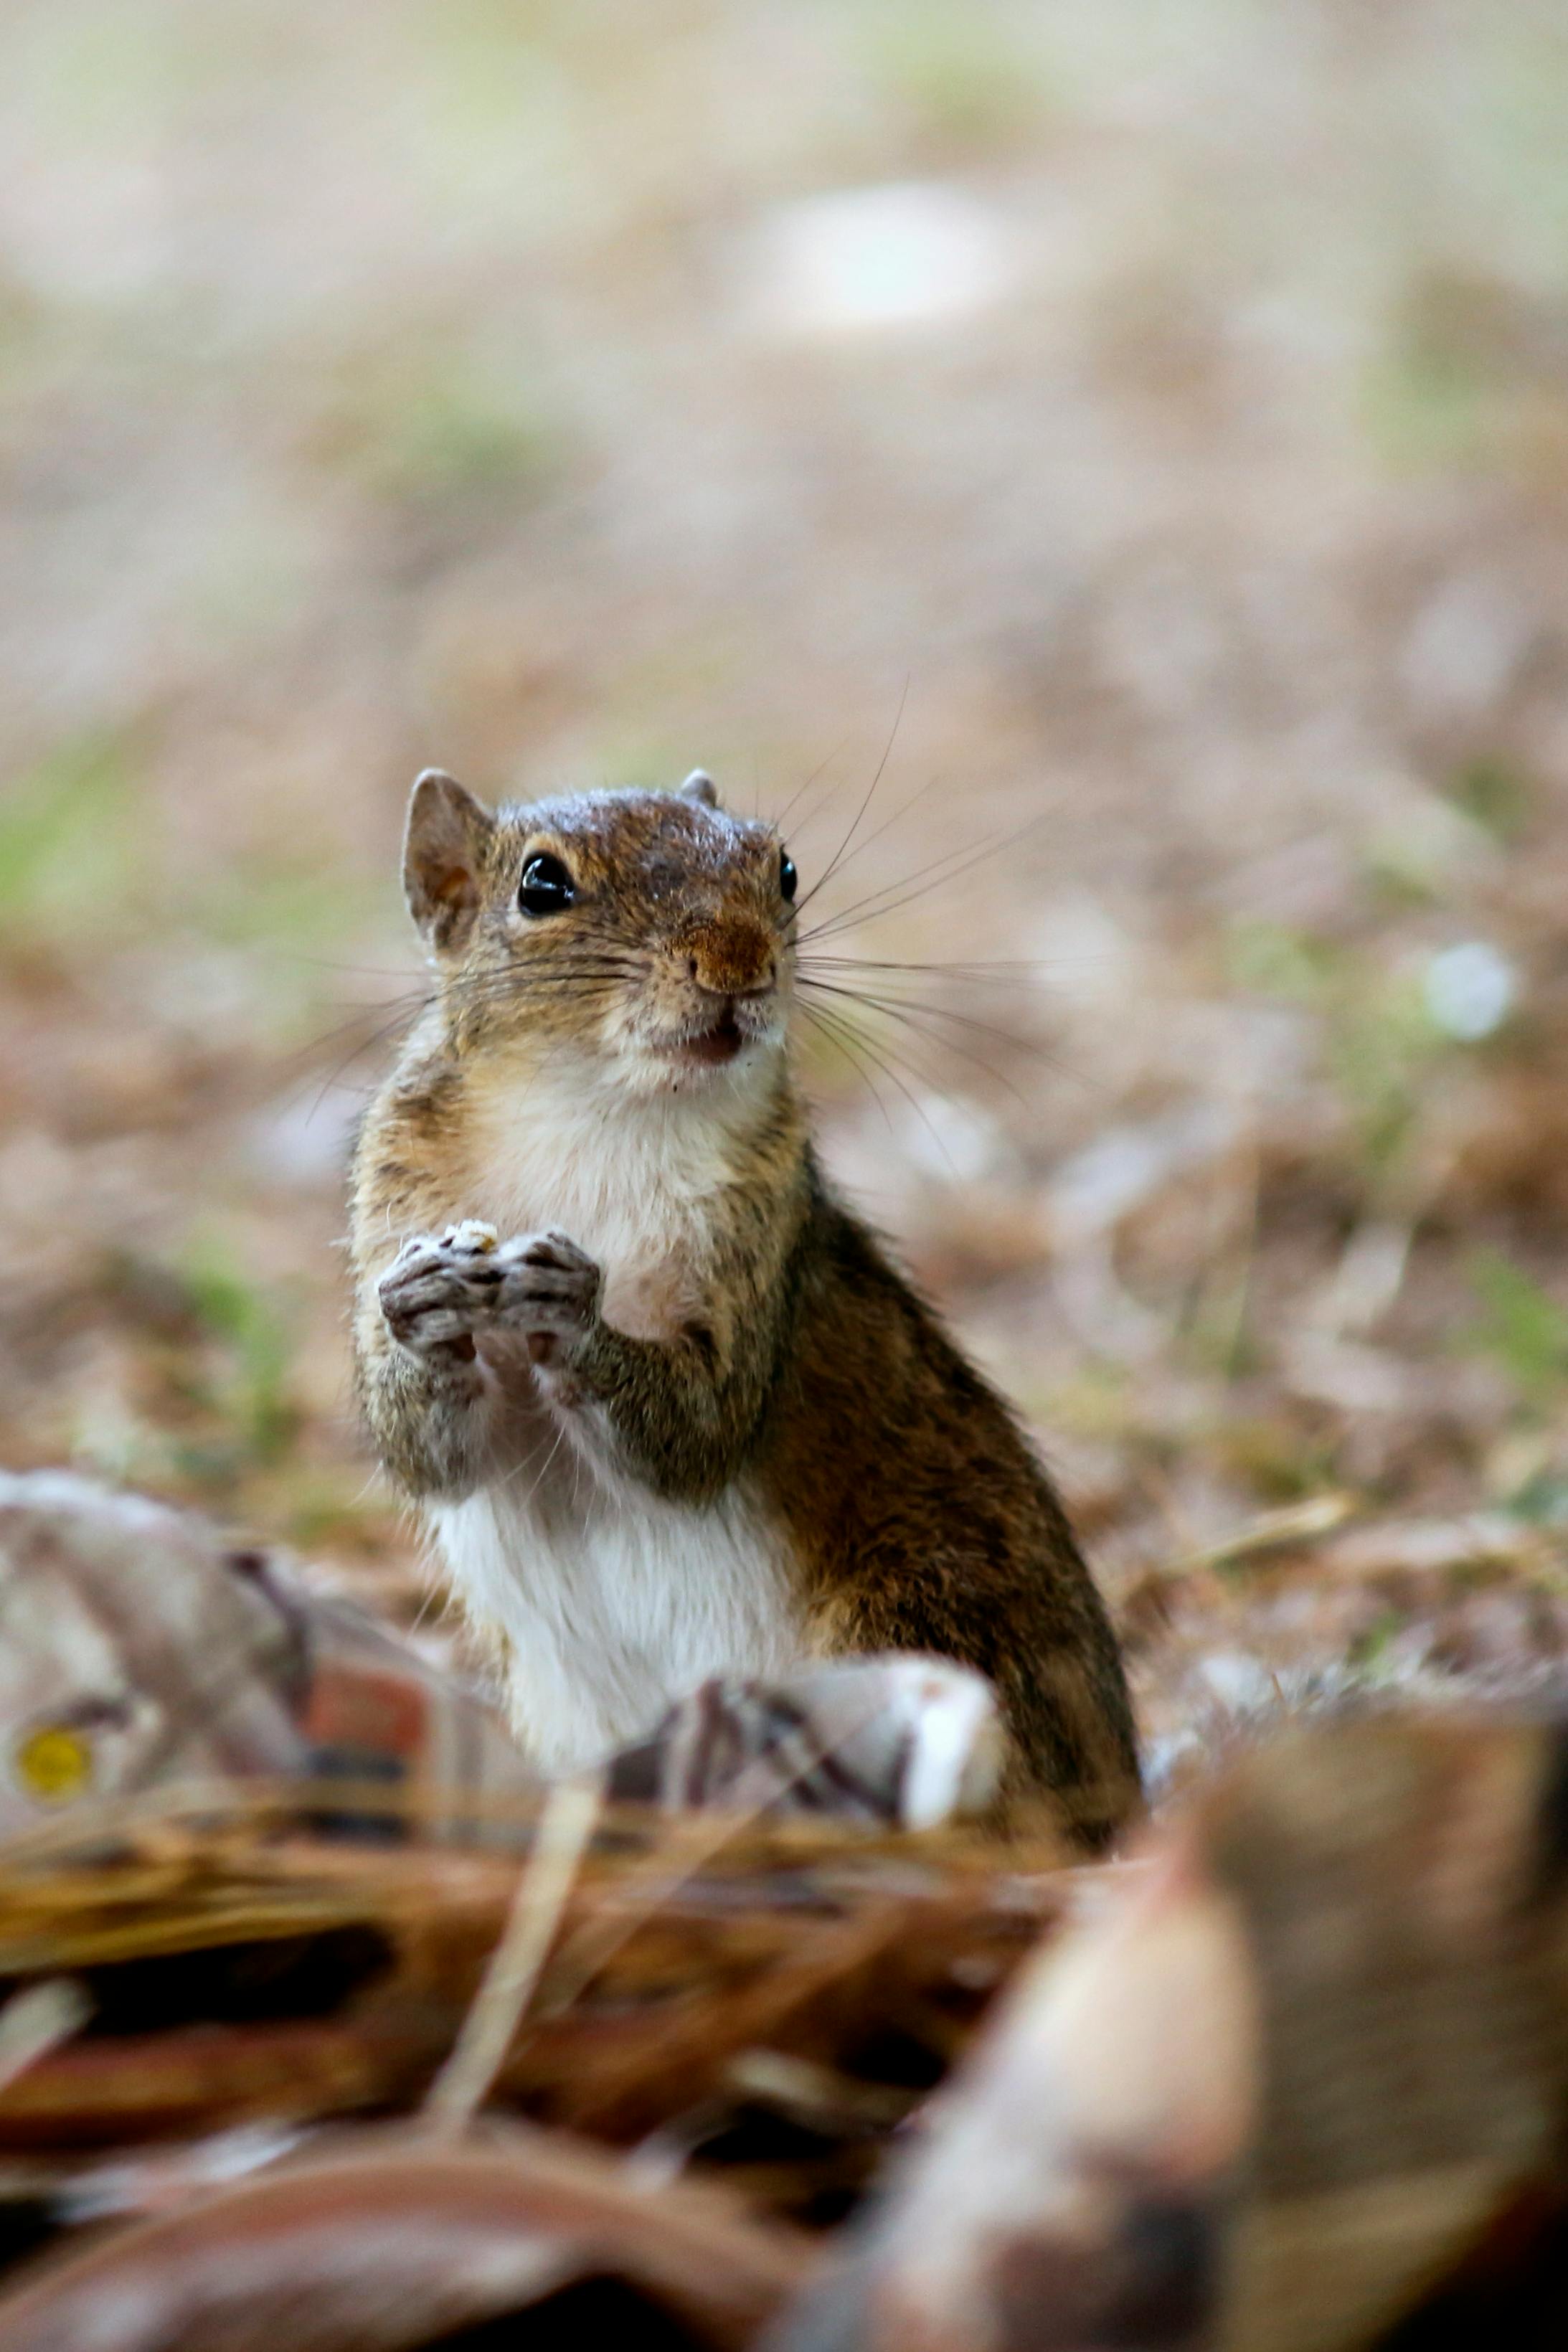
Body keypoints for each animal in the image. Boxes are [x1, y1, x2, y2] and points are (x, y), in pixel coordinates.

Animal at [350, 762, 1142, 1843]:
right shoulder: (394, 1196)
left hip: (919, 1613)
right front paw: (422, 1308)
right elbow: (426, 1455)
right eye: (542, 886)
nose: (735, 963)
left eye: (784, 868)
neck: (598, 1113)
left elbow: (699, 1428)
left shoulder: (764, 1237)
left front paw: (574, 1312)